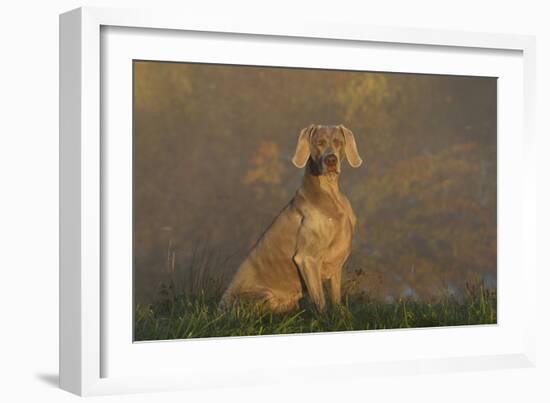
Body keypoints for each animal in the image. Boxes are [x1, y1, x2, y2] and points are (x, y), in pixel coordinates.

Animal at [222, 124, 364, 314]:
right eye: (319, 143)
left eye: (338, 142)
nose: (331, 160)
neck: (330, 193)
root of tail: (220, 306)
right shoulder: (307, 259)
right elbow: (320, 301)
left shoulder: (336, 261)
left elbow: (336, 298)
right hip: (264, 296)